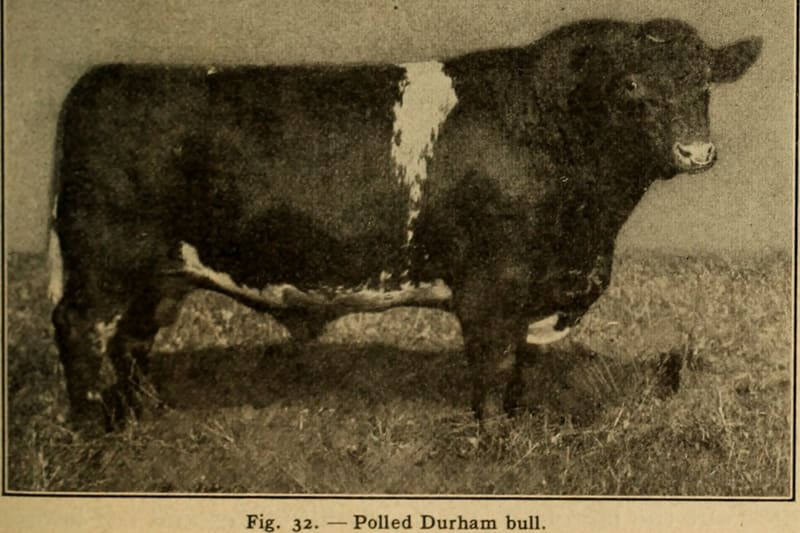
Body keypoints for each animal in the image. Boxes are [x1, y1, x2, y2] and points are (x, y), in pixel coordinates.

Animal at [48, 18, 761, 433]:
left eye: (704, 84)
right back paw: (91, 431)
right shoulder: (494, 283)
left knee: (133, 342)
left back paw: (149, 418)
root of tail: (103, 77)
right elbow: (495, 363)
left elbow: (518, 369)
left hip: (159, 274)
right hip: (104, 260)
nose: (696, 151)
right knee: (81, 330)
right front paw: (497, 442)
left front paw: (521, 426)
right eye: (631, 85)